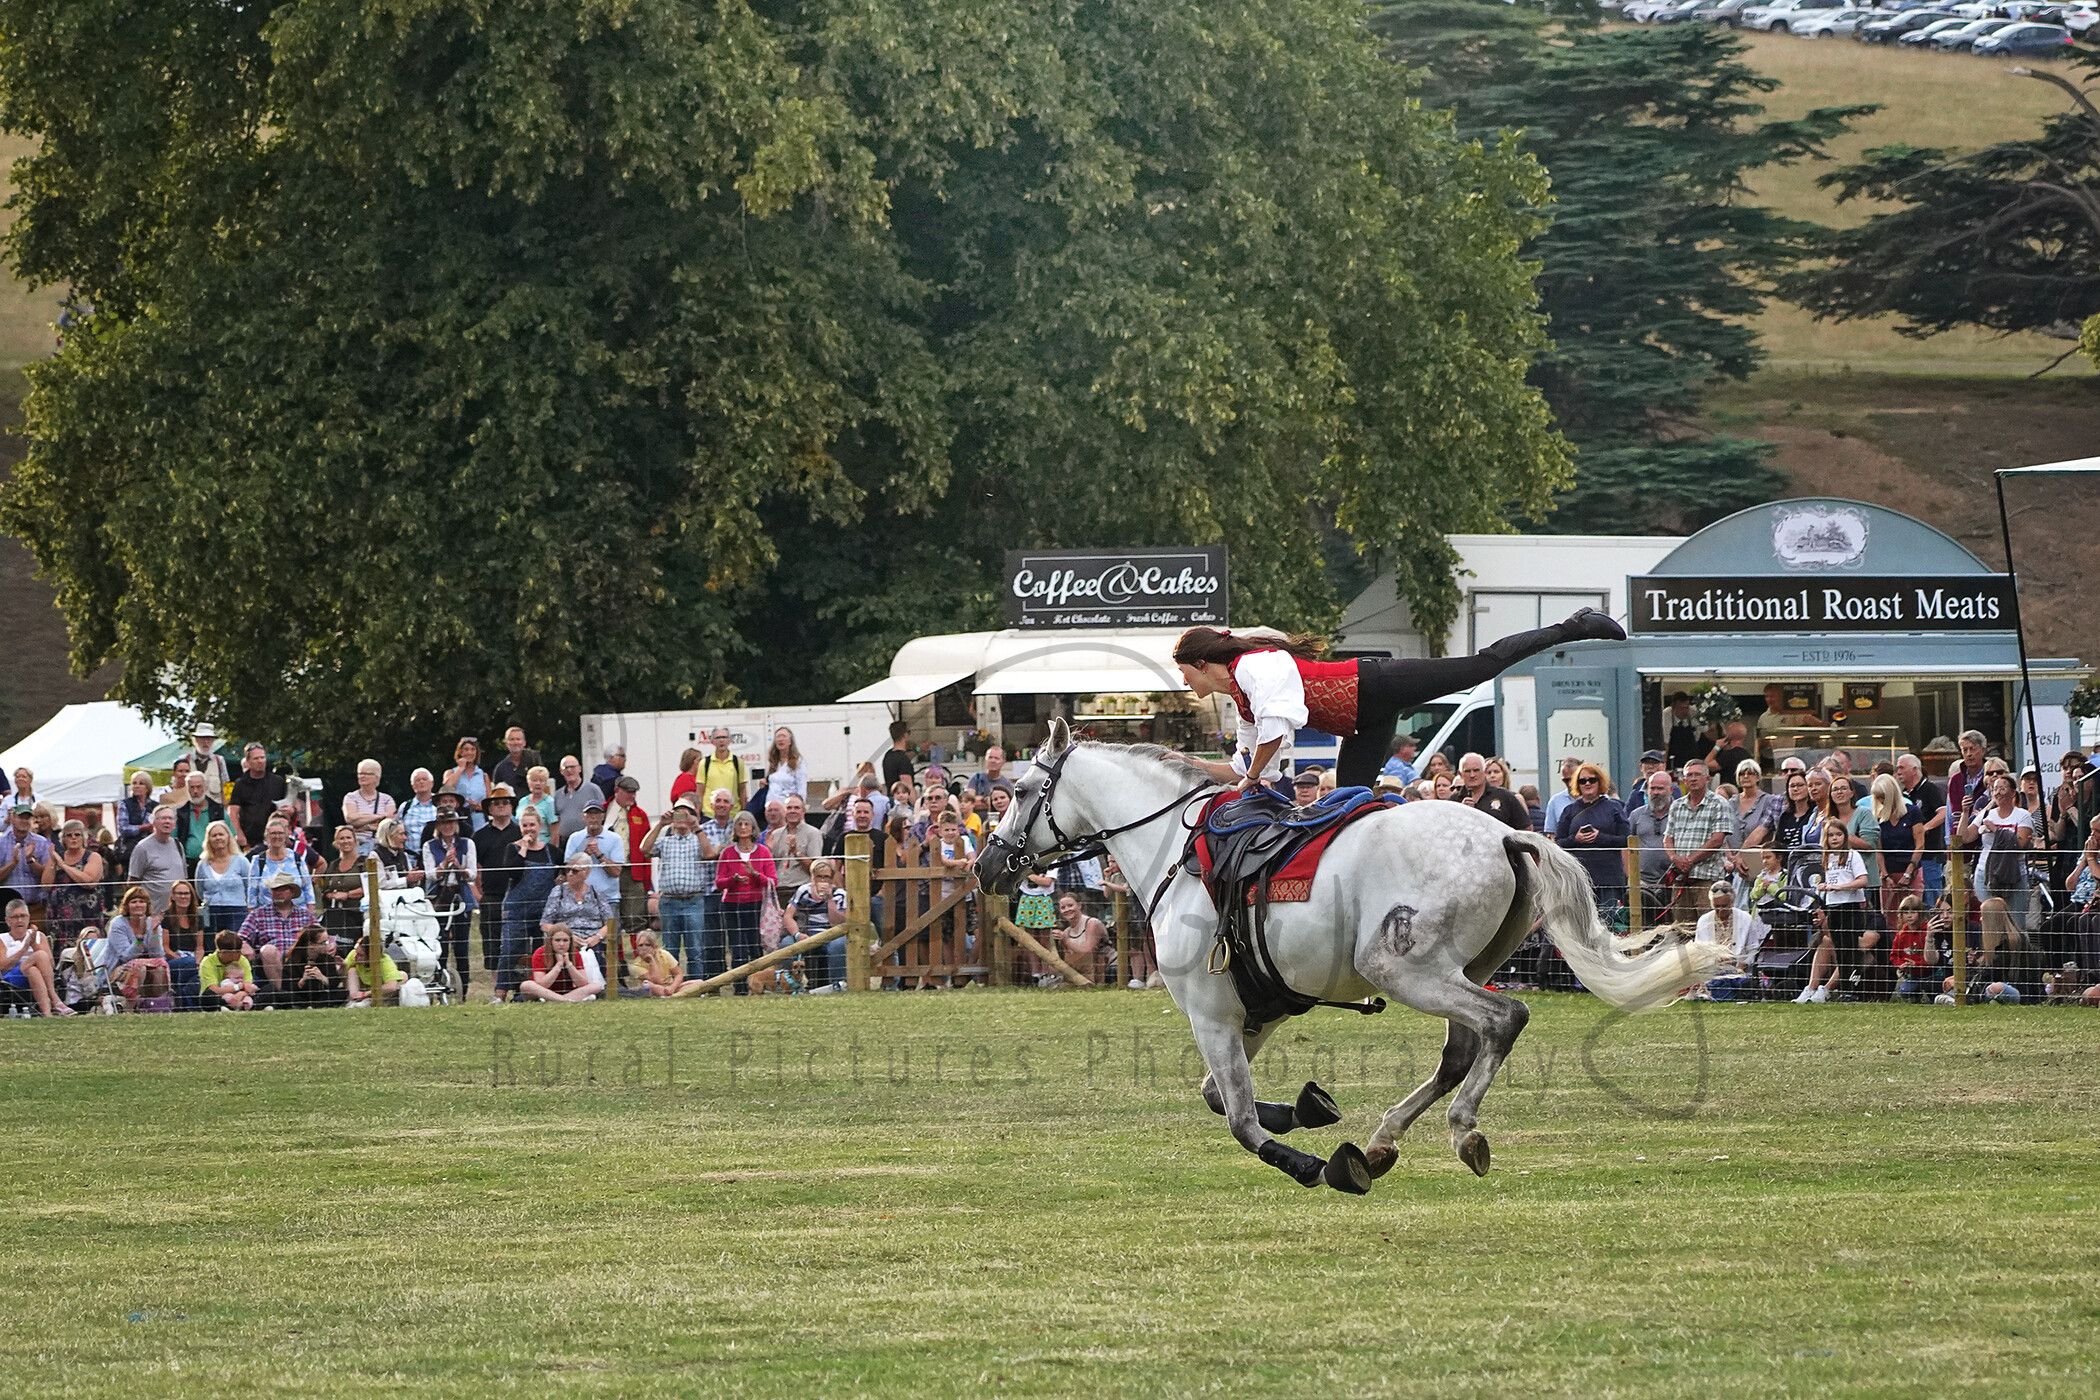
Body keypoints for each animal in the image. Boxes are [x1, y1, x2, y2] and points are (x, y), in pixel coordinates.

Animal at [974, 722, 1730, 1192]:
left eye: (1021, 792)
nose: (986, 866)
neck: (1172, 850)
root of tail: (1505, 834)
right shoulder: (1255, 1012)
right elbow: (1219, 1096)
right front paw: (1314, 1108)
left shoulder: (1211, 1015)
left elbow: (1240, 1120)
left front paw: (1320, 1165)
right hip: (1460, 968)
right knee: (1463, 1048)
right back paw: (1384, 1139)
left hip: (1405, 969)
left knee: (1503, 1019)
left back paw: (1460, 1132)